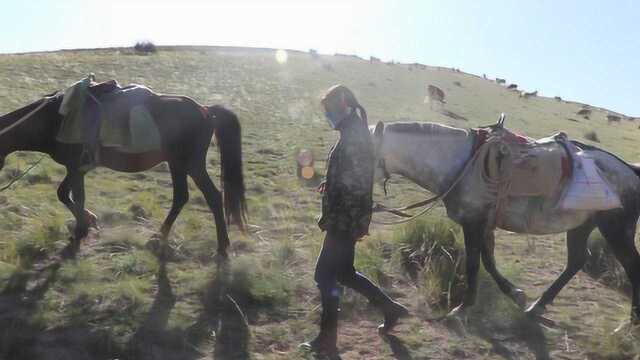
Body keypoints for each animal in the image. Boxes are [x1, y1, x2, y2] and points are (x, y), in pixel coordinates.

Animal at [0, 89, 245, 258]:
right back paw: (159, 238)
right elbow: (70, 195)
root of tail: (205, 109)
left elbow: (68, 195)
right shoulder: (77, 168)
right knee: (181, 198)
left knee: (212, 197)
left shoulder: (76, 166)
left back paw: (222, 247)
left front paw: (82, 229)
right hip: (177, 164)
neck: (55, 119)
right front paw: (87, 222)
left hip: (191, 164)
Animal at [370, 120, 640, 324]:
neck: (462, 164)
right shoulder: (483, 224)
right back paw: (537, 306)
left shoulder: (474, 223)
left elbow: (473, 264)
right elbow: (488, 261)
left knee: (631, 266)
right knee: (576, 260)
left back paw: (630, 324)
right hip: (582, 225)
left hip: (616, 228)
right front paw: (516, 294)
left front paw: (463, 308)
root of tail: (630, 169)